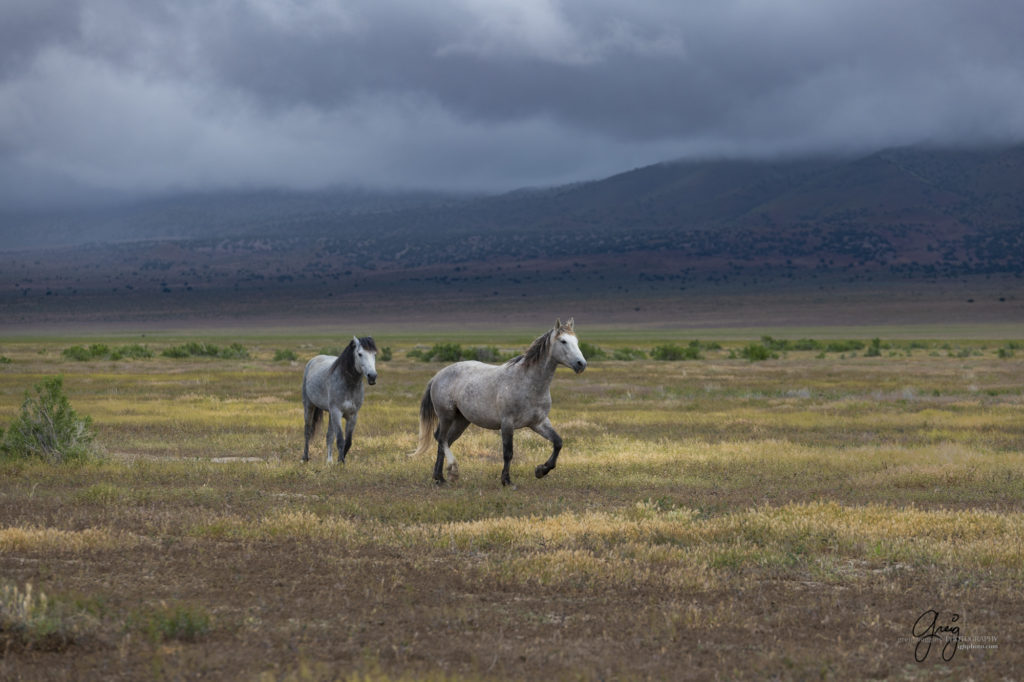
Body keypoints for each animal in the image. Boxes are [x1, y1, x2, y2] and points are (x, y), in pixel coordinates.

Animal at [301, 333, 378, 462]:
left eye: (374, 354)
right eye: (360, 354)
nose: (372, 376)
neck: (348, 385)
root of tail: (313, 360)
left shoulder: (352, 415)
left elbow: (348, 442)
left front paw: (339, 460)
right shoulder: (337, 412)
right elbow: (341, 440)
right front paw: (341, 462)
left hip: (330, 413)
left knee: (329, 436)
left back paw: (329, 461)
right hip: (309, 406)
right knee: (307, 431)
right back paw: (305, 458)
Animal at [407, 317, 585, 483]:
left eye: (576, 341)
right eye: (563, 341)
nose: (581, 364)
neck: (528, 383)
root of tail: (437, 375)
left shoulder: (538, 423)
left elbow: (558, 442)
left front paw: (541, 470)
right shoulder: (507, 423)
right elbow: (508, 453)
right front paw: (506, 480)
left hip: (461, 420)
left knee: (445, 441)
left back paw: (440, 477)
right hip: (446, 416)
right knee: (441, 438)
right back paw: (452, 471)